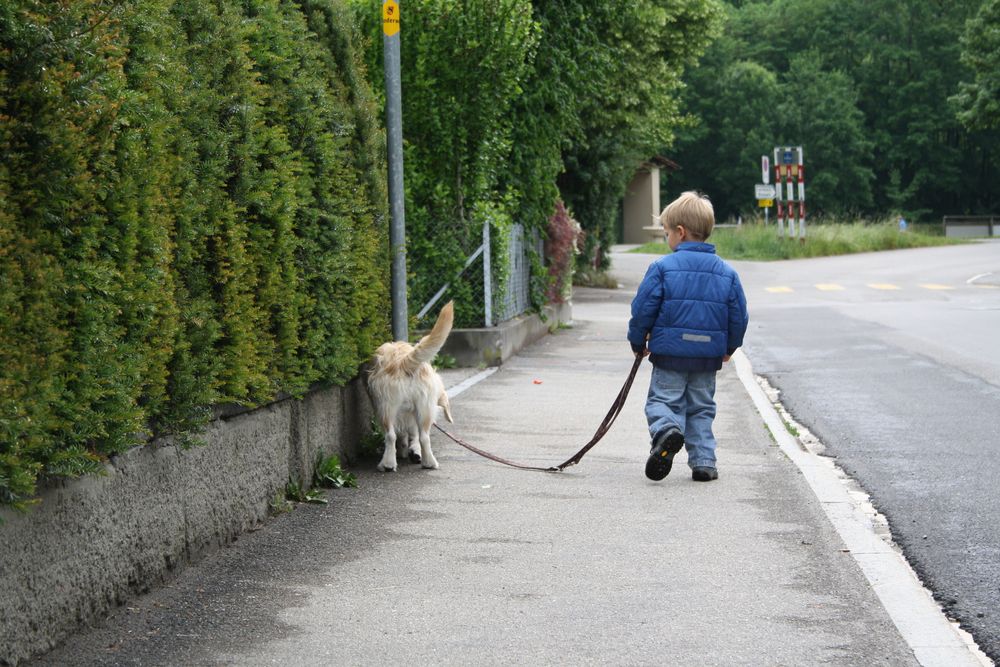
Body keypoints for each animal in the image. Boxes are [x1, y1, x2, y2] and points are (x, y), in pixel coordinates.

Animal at [370, 300, 456, 472]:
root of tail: (404, 361)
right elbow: (413, 435)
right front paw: (412, 452)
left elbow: (406, 436)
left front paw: (406, 451)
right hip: (422, 408)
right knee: (423, 436)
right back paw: (427, 462)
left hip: (385, 407)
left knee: (391, 435)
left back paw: (388, 463)